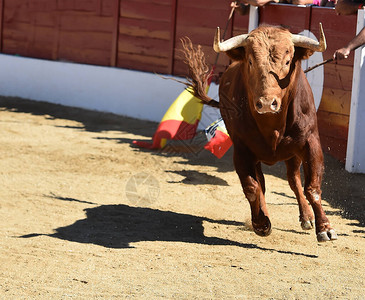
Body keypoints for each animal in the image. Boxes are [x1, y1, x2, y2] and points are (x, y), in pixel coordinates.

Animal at [185, 24, 336, 243]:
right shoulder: (242, 150)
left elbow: (312, 187)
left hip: (293, 155)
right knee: (263, 184)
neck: (272, 125)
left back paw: (307, 217)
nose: (266, 103)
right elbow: (252, 187)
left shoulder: (310, 143)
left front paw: (325, 228)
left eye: (288, 61)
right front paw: (261, 223)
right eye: (250, 61)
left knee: (293, 180)